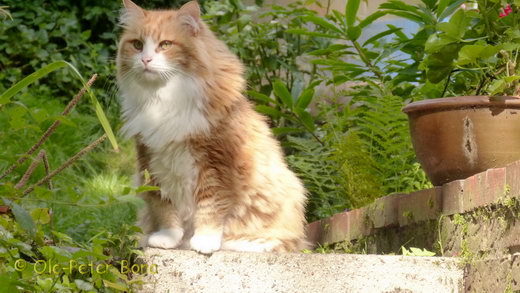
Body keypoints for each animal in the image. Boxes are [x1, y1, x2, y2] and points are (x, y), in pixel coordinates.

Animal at [116, 0, 306, 252]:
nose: (145, 60)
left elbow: (211, 207)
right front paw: (168, 238)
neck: (163, 99)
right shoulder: (151, 161)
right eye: (137, 45)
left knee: (282, 241)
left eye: (165, 44)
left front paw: (204, 241)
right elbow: (165, 209)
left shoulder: (215, 165)